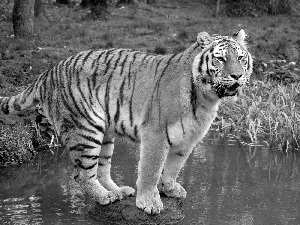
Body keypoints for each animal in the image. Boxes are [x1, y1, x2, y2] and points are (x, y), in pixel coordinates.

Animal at [0, 29, 253, 214]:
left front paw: (170, 189)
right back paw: (105, 197)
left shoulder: (188, 139)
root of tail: (47, 72)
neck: (206, 98)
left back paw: (119, 191)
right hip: (85, 130)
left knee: (101, 169)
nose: (237, 75)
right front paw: (149, 202)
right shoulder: (156, 135)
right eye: (220, 59)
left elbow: (173, 168)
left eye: (240, 58)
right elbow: (151, 170)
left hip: (104, 135)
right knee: (82, 174)